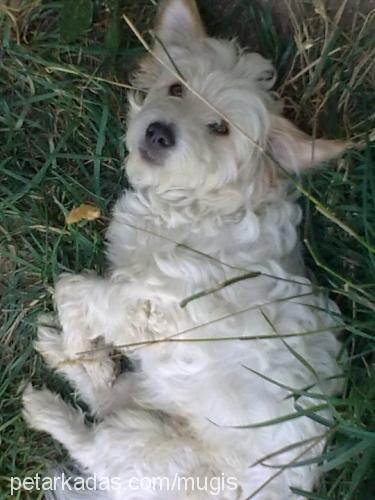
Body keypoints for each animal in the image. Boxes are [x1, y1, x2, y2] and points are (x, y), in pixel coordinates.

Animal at [22, 1, 346, 498]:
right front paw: (81, 350)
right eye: (176, 88)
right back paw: (68, 360)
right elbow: (81, 293)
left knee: (94, 440)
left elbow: (72, 288)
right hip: (146, 401)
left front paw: (79, 340)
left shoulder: (158, 307)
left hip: (145, 442)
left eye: (220, 128)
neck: (199, 208)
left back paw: (49, 408)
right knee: (108, 399)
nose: (159, 132)